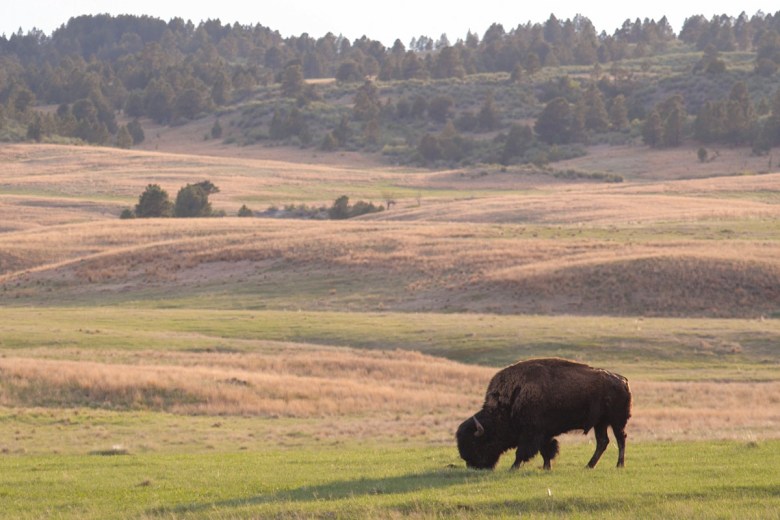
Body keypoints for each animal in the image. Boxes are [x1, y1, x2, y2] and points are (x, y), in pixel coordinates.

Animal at [454, 358, 632, 472]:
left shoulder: (531, 434)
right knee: (603, 441)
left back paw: (619, 465)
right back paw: (589, 466)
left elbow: (522, 452)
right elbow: (546, 450)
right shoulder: (544, 434)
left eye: (476, 443)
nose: (473, 466)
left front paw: (513, 468)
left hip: (616, 421)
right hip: (600, 423)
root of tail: (623, 381)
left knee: (620, 439)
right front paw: (547, 467)